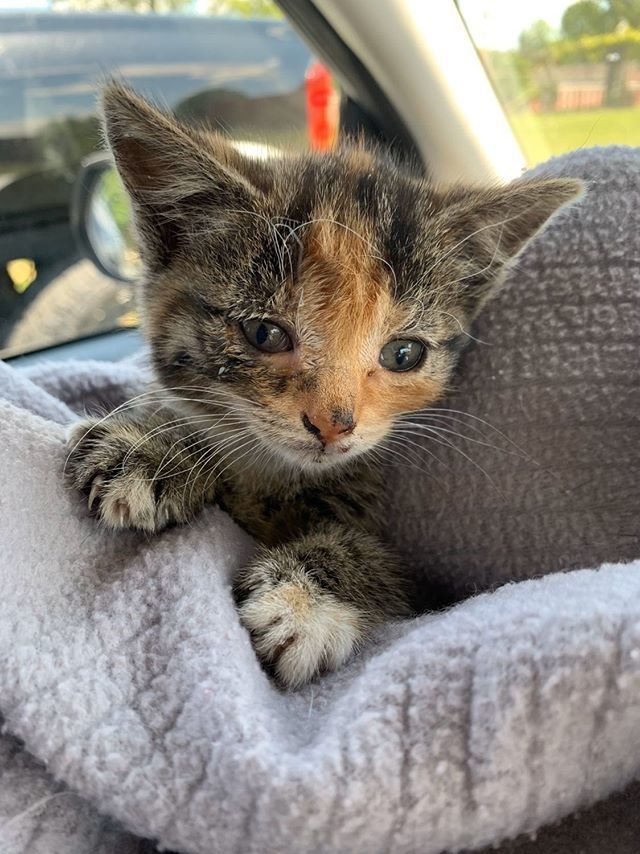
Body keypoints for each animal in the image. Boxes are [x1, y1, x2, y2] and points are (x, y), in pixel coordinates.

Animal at [66, 82, 584, 688]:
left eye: (403, 353)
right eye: (264, 333)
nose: (333, 425)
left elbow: (379, 561)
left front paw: (304, 602)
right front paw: (151, 448)